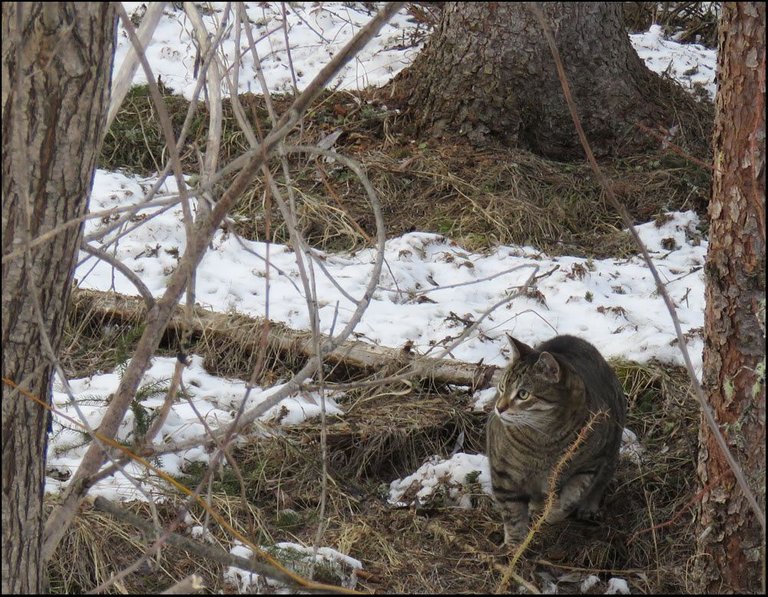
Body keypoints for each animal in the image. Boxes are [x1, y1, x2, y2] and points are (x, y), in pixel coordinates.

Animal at [488, 336, 628, 544]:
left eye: (523, 394)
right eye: (502, 387)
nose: (499, 408)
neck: (543, 439)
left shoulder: (591, 463)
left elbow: (573, 494)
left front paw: (554, 513)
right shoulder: (503, 473)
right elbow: (513, 515)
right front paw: (514, 545)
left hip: (611, 451)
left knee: (600, 483)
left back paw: (586, 507)